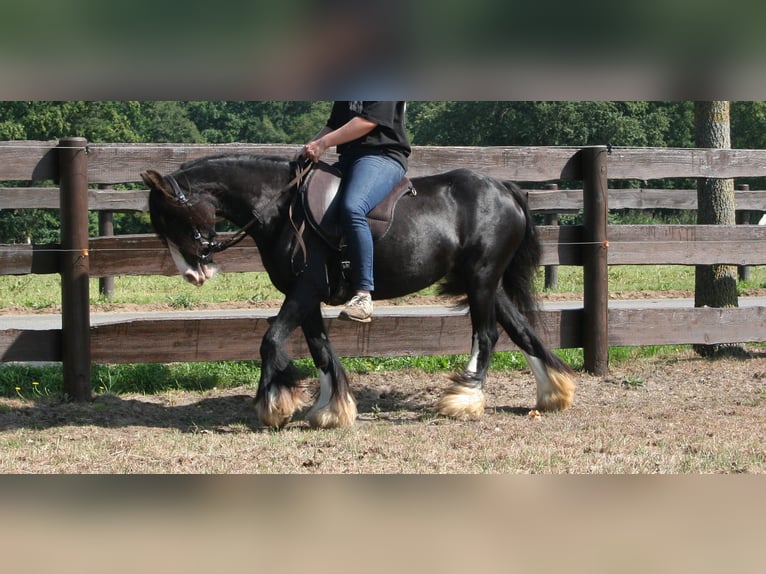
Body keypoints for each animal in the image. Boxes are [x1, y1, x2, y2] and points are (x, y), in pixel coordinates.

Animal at [142, 155, 576, 430]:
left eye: (172, 217)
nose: (193, 274)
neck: (284, 210)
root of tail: (503, 187)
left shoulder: (305, 289)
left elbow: (271, 340)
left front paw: (275, 406)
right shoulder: (305, 297)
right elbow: (319, 350)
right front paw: (330, 411)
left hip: (482, 279)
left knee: (486, 335)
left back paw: (464, 399)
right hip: (485, 282)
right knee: (521, 331)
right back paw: (552, 393)